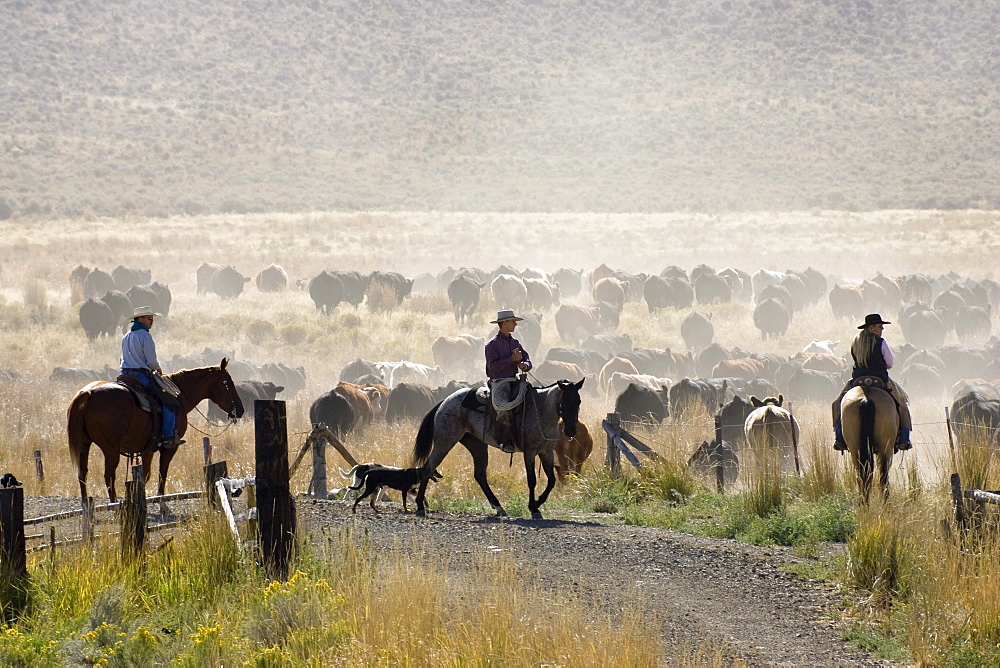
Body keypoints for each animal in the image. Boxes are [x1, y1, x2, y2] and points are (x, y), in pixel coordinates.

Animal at [67, 360, 244, 500]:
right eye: (228, 383)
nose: (240, 410)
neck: (180, 396)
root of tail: (87, 393)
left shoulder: (148, 449)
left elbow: (145, 475)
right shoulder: (169, 447)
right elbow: (162, 473)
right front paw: (160, 497)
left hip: (84, 443)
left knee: (82, 473)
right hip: (110, 448)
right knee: (109, 475)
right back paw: (114, 503)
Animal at [412, 378, 584, 520]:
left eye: (578, 401)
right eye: (564, 401)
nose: (571, 431)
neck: (541, 410)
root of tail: (445, 402)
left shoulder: (546, 452)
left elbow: (552, 480)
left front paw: (538, 502)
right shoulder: (530, 453)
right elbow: (532, 480)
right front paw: (534, 508)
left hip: (477, 445)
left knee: (480, 475)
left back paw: (499, 507)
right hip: (444, 442)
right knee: (428, 468)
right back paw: (420, 506)